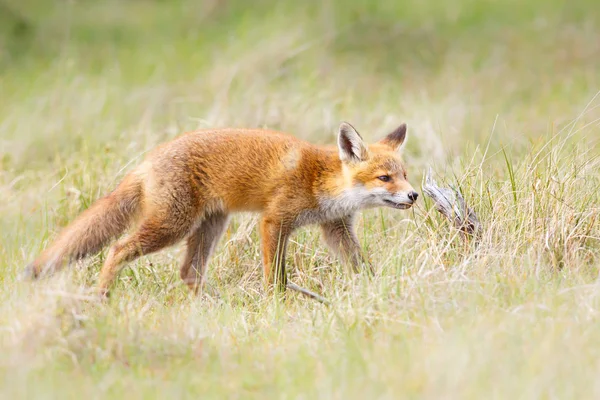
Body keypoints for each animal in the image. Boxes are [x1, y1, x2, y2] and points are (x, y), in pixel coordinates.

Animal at [22, 122, 418, 296]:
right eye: (384, 178)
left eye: (404, 174)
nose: (414, 195)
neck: (320, 181)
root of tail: (147, 160)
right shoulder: (274, 220)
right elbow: (275, 276)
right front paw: (276, 305)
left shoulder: (335, 228)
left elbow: (361, 266)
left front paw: (377, 290)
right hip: (172, 226)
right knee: (118, 249)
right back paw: (102, 297)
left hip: (210, 226)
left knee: (188, 273)